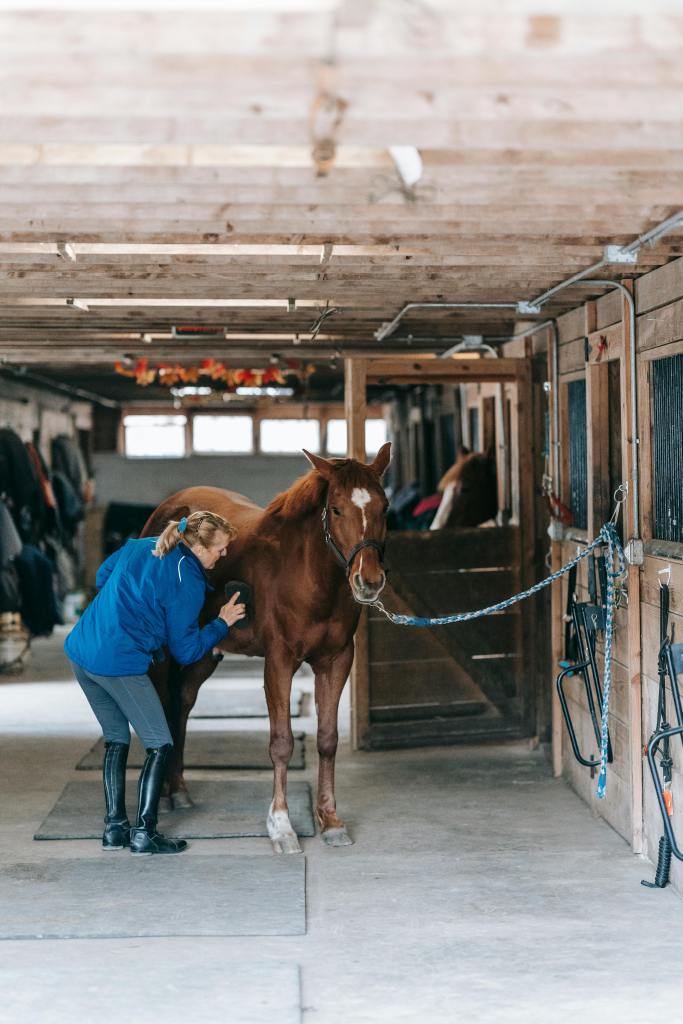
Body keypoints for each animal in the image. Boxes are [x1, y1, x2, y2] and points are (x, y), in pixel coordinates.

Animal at [141, 443, 391, 854]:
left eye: (383, 507)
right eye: (337, 508)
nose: (368, 581)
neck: (307, 575)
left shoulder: (336, 661)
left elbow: (327, 739)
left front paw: (331, 821)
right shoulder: (279, 663)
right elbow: (282, 743)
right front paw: (282, 826)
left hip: (203, 657)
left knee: (182, 705)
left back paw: (178, 790)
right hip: (163, 658)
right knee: (163, 707)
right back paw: (164, 794)